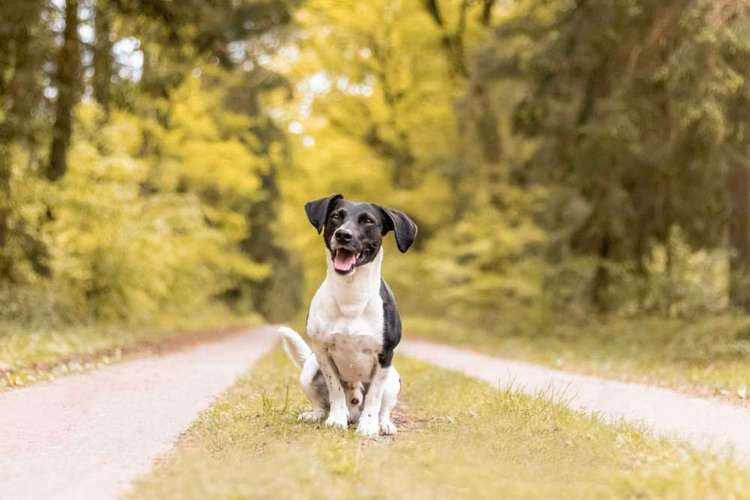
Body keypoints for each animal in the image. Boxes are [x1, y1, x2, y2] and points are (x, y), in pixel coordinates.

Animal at [280, 193, 418, 436]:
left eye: (368, 221)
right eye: (336, 216)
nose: (343, 234)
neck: (351, 296)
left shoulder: (384, 356)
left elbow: (373, 396)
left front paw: (369, 425)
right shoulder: (322, 351)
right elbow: (335, 389)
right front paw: (336, 419)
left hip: (393, 379)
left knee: (384, 407)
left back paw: (383, 423)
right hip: (309, 369)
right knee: (322, 404)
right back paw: (320, 414)